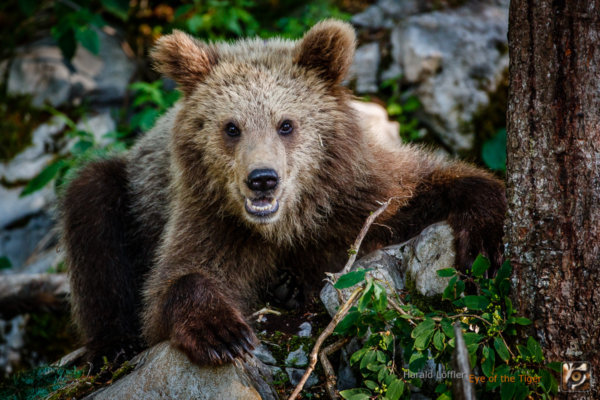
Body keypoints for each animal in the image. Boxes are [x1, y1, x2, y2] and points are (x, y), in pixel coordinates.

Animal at [59, 20, 506, 368]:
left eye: (286, 124)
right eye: (231, 127)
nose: (262, 179)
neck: (284, 222)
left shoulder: (350, 193)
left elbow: (417, 191)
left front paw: (484, 241)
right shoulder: (211, 216)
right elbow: (173, 282)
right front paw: (222, 333)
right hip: (132, 193)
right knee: (92, 215)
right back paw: (112, 345)